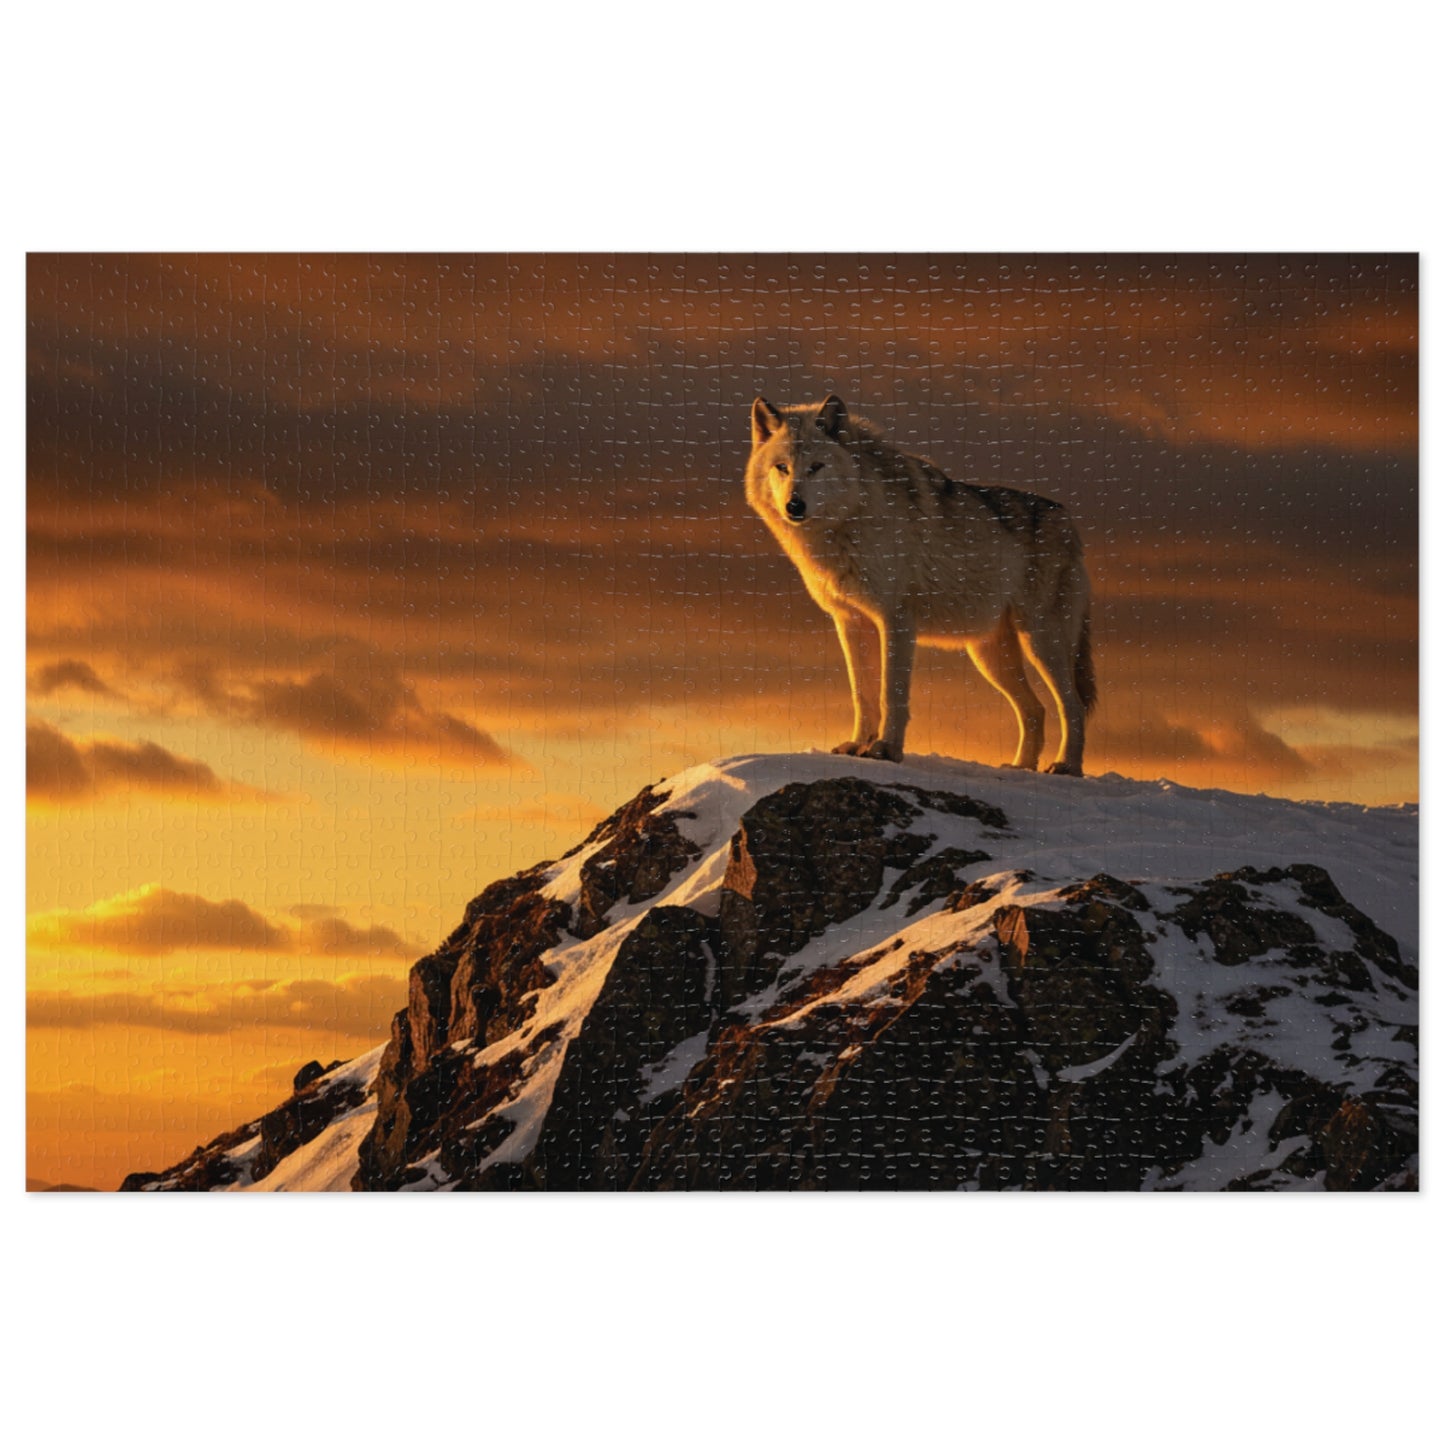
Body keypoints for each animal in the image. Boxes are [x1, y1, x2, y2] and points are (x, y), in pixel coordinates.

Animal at [745, 394, 1095, 773]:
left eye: (816, 467)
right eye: (782, 467)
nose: (794, 505)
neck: (852, 519)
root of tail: (1069, 520)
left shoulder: (896, 619)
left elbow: (890, 694)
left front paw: (885, 749)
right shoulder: (850, 622)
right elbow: (862, 694)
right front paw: (857, 744)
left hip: (1041, 641)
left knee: (1072, 706)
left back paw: (1066, 767)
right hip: (990, 655)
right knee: (1035, 710)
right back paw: (1019, 768)